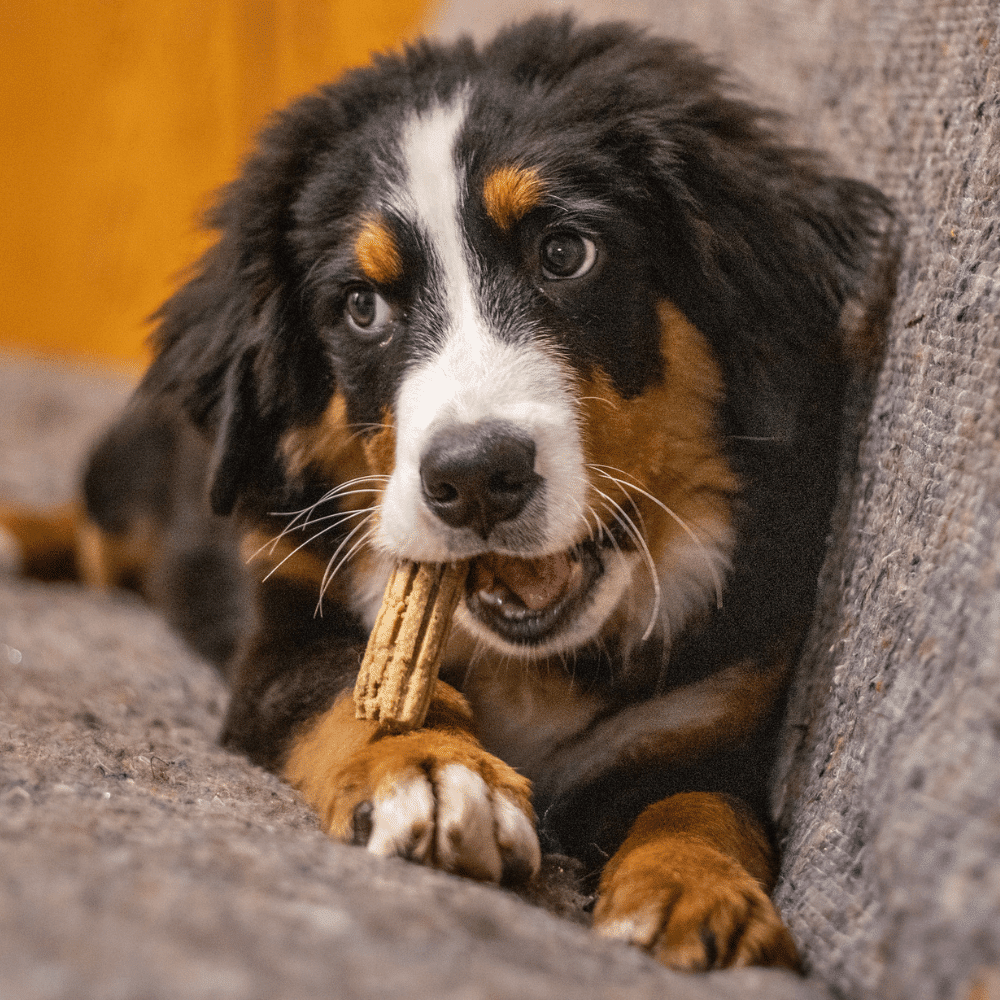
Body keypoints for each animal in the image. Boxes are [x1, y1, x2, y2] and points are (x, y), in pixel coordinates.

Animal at [3, 13, 900, 968]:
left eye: (565, 254)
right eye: (362, 306)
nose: (474, 477)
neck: (536, 664)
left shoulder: (708, 717)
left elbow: (703, 802)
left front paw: (696, 888)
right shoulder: (283, 623)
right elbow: (352, 692)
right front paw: (433, 773)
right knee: (99, 537)